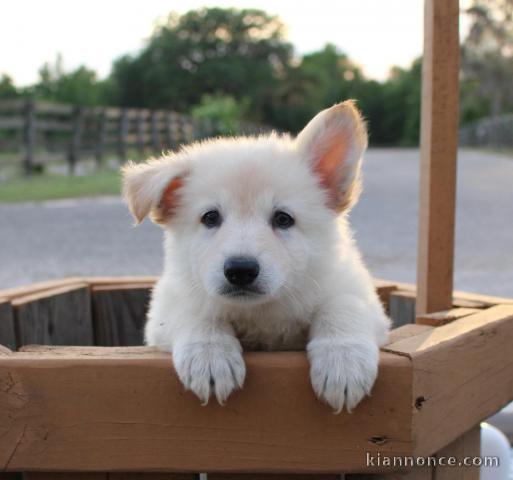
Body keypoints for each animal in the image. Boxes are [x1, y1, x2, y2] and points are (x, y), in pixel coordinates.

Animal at [123, 100, 388, 412]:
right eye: (210, 217)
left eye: (283, 219)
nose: (241, 270)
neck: (260, 313)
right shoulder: (165, 309)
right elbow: (197, 312)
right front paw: (209, 357)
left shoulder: (356, 293)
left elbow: (343, 305)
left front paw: (343, 362)